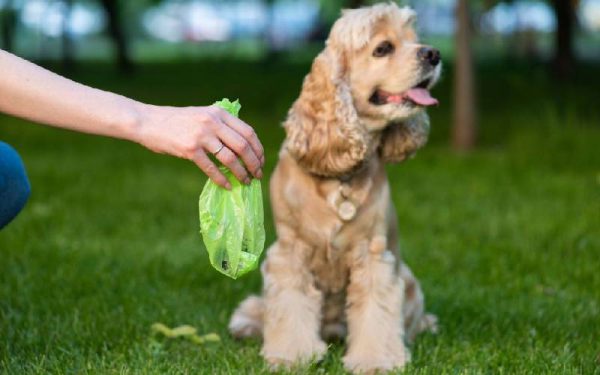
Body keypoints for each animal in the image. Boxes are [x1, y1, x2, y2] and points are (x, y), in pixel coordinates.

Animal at [230, 2, 440, 374]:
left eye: (414, 39)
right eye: (383, 48)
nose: (434, 54)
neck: (338, 175)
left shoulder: (373, 255)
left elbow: (376, 311)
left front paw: (376, 361)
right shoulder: (290, 252)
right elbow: (290, 306)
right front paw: (291, 356)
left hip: (410, 282)